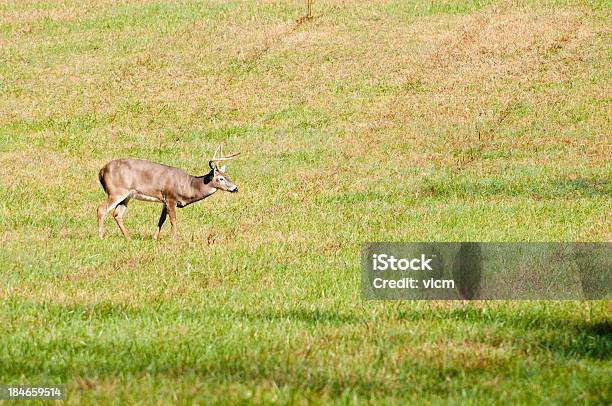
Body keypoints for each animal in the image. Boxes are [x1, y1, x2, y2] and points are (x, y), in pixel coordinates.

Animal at [96, 145, 239, 239]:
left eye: (228, 176)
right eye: (220, 178)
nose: (235, 188)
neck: (189, 185)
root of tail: (101, 171)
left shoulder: (165, 200)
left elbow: (162, 219)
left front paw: (155, 238)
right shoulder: (171, 197)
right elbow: (173, 219)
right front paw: (174, 238)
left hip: (127, 196)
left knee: (117, 214)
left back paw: (128, 238)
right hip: (116, 191)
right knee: (101, 209)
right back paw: (101, 236)